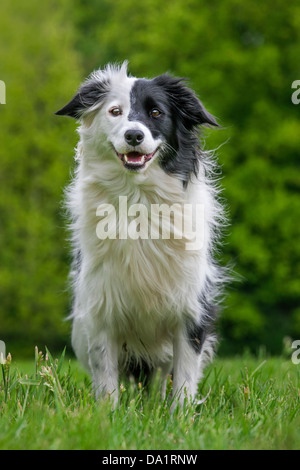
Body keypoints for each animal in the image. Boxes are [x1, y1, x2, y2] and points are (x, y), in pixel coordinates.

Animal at [55, 62, 226, 408]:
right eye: (115, 111)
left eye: (156, 112)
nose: (134, 134)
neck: (138, 198)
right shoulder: (101, 307)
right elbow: (106, 376)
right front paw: (107, 414)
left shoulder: (191, 307)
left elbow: (185, 375)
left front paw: (180, 415)